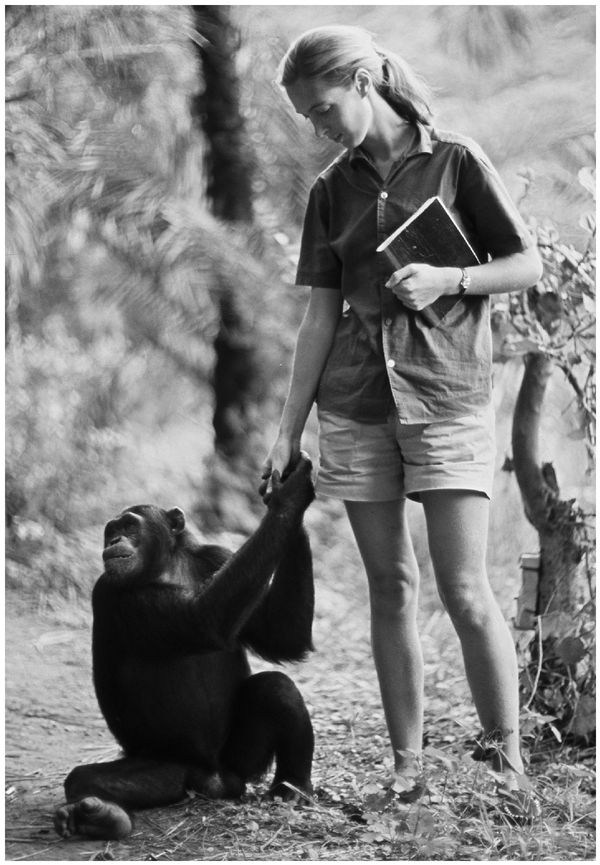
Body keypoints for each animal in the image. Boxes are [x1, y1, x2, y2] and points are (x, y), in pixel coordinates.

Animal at [54, 452, 316, 836]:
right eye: (110, 530)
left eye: (129, 527)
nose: (113, 541)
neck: (167, 566)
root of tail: (213, 780)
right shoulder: (111, 593)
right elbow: (203, 619)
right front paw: (290, 497)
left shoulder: (219, 557)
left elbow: (282, 636)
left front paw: (293, 490)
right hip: (169, 766)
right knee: (85, 780)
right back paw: (100, 815)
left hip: (238, 762)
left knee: (277, 688)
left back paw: (292, 789)